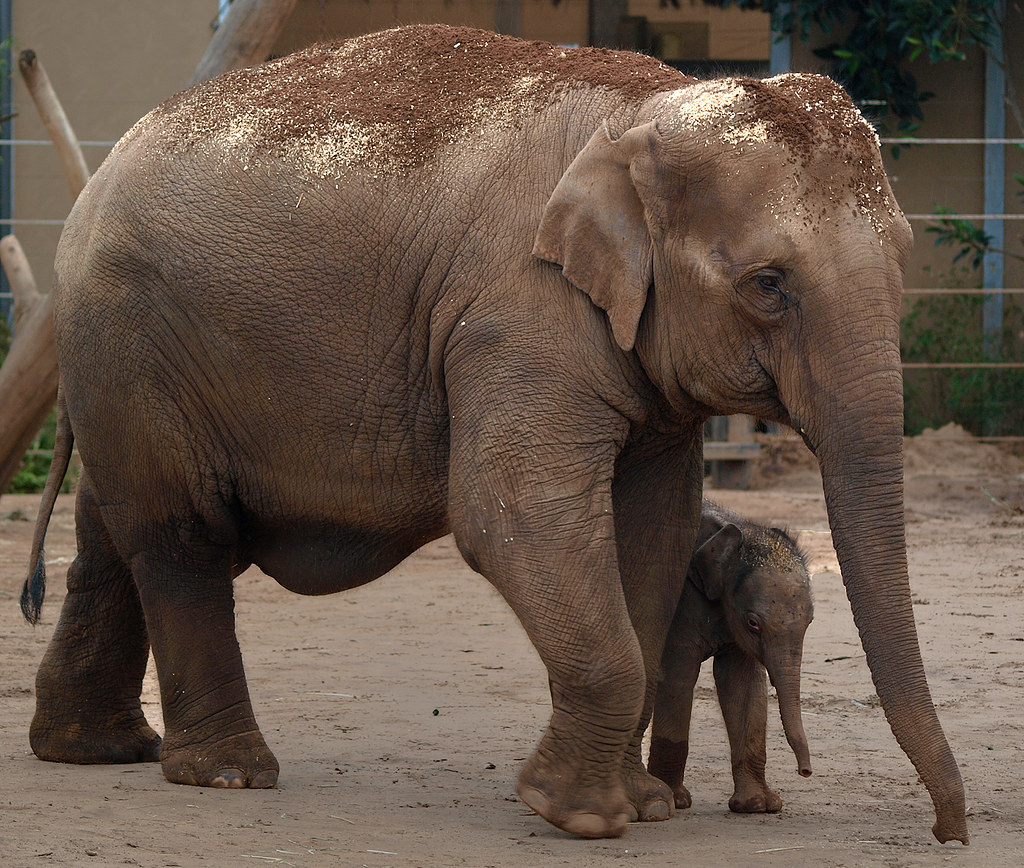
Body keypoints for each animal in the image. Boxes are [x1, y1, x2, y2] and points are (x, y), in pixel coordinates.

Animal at [647, 501, 813, 814]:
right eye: (753, 623)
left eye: (810, 621)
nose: (806, 772)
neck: (740, 531)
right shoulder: (681, 604)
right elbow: (677, 675)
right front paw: (676, 800)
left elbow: (741, 683)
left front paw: (758, 805)